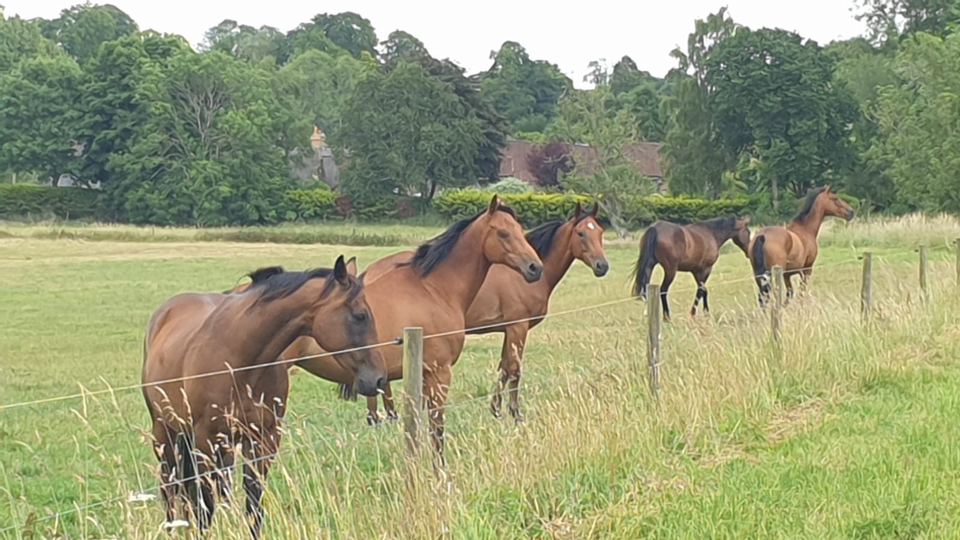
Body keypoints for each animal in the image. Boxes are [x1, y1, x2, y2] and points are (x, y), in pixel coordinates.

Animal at [142, 256, 386, 538]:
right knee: (170, 489)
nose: (379, 380)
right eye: (360, 315)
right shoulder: (206, 440)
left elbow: (254, 506)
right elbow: (205, 507)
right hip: (165, 433)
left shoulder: (263, 440)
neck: (240, 360)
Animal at [283, 195, 543, 462]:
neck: (433, 289)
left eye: (519, 230)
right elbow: (437, 428)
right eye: (503, 233)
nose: (535, 267)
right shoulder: (440, 373)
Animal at [358, 202, 609, 423]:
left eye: (600, 232)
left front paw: (496, 409)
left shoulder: (509, 330)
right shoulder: (518, 327)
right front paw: (515, 413)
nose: (602, 266)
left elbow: (504, 368)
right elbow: (514, 370)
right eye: (580, 233)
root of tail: (369, 273)